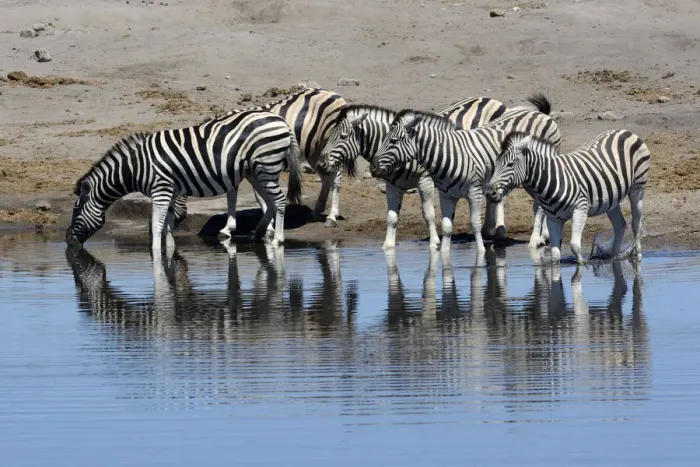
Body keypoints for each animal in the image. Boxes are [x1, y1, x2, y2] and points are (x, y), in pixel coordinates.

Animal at [66, 109, 303, 253]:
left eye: (76, 210)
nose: (67, 240)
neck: (137, 166)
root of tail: (281, 121)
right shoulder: (170, 190)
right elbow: (169, 224)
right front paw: (170, 250)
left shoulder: (160, 189)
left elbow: (158, 225)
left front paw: (156, 253)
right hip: (255, 171)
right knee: (270, 202)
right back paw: (259, 234)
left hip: (267, 165)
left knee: (279, 200)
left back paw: (277, 239)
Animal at [170, 87, 346, 231]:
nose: (175, 224)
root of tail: (333, 93)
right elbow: (253, 196)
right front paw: (268, 222)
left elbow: (252, 196)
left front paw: (268, 224)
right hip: (314, 151)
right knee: (325, 177)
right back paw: (316, 212)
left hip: (330, 143)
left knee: (335, 177)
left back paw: (331, 217)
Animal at [316, 96, 527, 250]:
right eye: (329, 135)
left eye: (343, 136)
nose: (320, 164)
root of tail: (492, 100)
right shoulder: (392, 186)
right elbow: (391, 217)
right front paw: (388, 245)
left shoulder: (425, 181)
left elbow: (429, 214)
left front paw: (435, 242)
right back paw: (487, 229)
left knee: (500, 197)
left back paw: (498, 232)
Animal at [370, 94, 561, 255]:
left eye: (393, 141)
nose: (373, 167)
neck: (449, 153)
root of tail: (540, 114)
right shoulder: (446, 194)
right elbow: (447, 226)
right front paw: (444, 253)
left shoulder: (474, 191)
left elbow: (474, 223)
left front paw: (481, 252)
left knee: (539, 206)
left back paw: (535, 240)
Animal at [486, 129, 650, 264]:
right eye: (496, 163)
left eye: (510, 164)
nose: (489, 193)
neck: (552, 179)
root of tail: (624, 131)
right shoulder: (553, 219)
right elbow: (554, 254)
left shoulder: (580, 210)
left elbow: (574, 246)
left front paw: (583, 263)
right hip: (611, 198)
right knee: (620, 225)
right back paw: (613, 257)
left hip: (638, 189)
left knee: (636, 224)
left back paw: (637, 255)